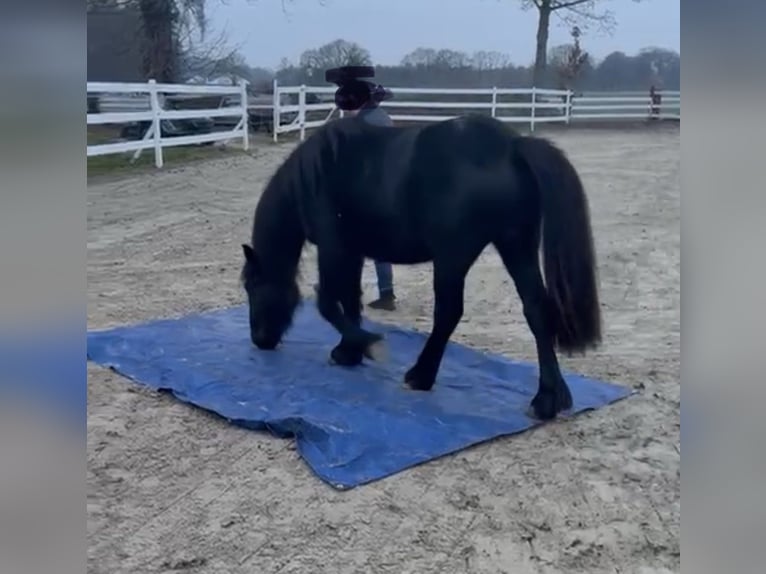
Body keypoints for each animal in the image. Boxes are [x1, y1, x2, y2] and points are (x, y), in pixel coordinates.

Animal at [240, 113, 602, 420]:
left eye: (252, 286)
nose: (259, 339)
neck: (318, 171)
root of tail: (512, 146)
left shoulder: (333, 248)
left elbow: (328, 303)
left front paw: (368, 345)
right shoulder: (354, 252)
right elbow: (351, 300)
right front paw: (349, 352)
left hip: (453, 257)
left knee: (448, 312)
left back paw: (420, 375)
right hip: (516, 246)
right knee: (536, 308)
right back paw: (548, 399)